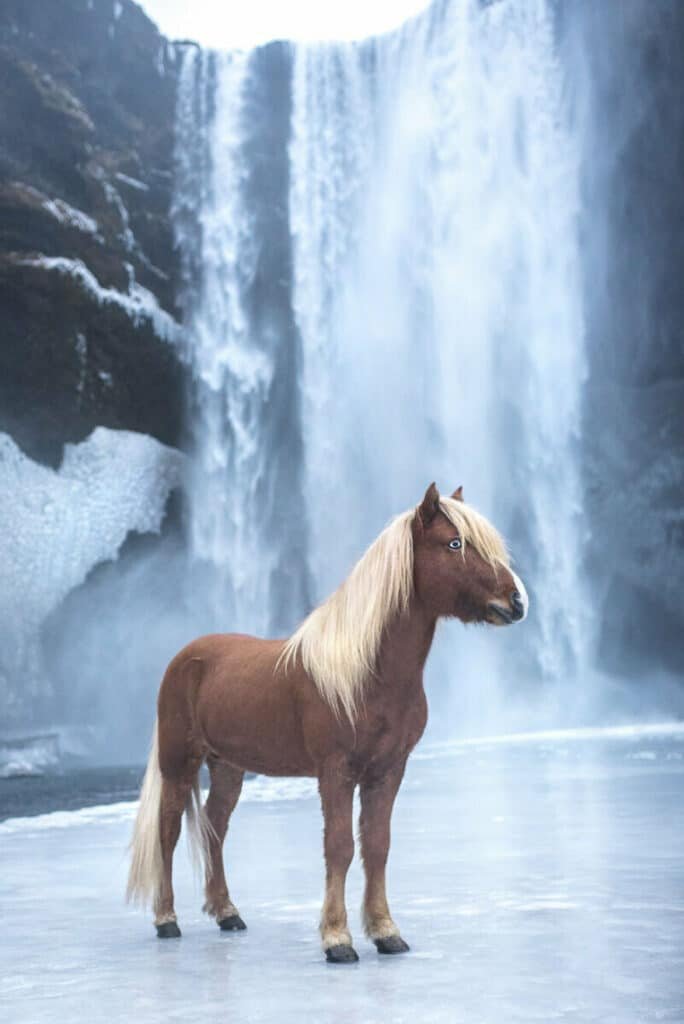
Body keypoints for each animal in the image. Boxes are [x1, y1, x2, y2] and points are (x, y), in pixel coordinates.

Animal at [125, 479, 528, 958]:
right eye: (454, 543)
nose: (517, 602)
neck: (368, 673)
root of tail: (185, 657)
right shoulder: (336, 771)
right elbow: (339, 847)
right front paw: (337, 939)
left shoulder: (388, 770)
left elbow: (377, 846)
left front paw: (386, 931)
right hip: (179, 763)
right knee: (167, 833)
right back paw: (166, 919)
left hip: (228, 767)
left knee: (214, 826)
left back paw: (227, 913)